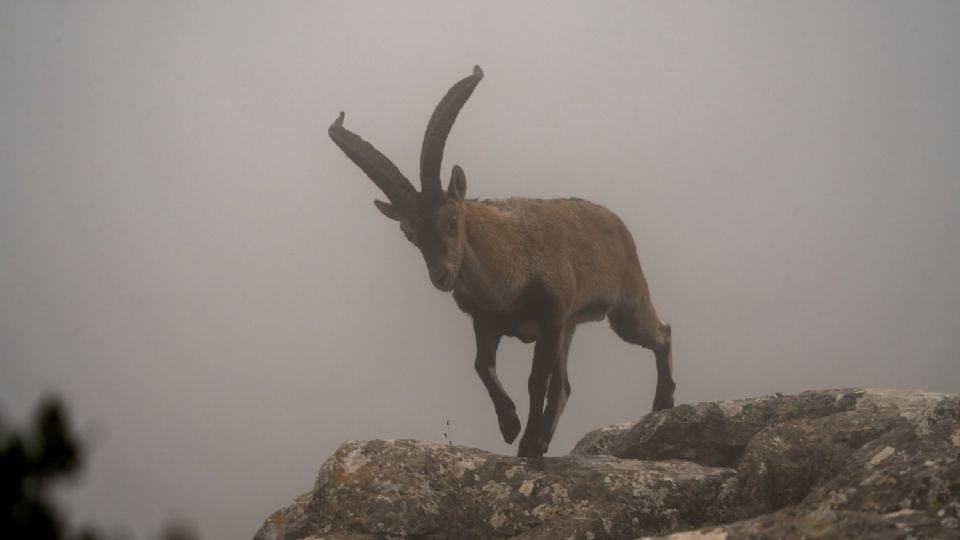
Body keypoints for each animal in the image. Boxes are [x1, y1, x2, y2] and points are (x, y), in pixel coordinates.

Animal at [328, 66, 675, 458]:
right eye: (410, 234)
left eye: (452, 220)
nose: (441, 275)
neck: (504, 276)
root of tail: (616, 222)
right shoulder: (486, 321)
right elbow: (482, 365)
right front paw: (510, 426)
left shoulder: (550, 318)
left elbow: (535, 381)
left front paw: (524, 441)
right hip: (572, 327)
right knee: (565, 387)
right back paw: (545, 440)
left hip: (625, 306)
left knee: (661, 334)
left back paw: (661, 403)